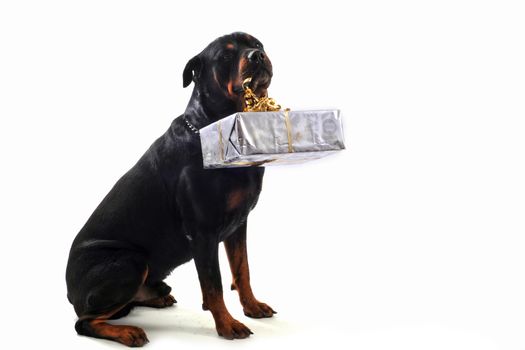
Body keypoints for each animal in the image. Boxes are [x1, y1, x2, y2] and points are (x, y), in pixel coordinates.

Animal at [65, 33, 274, 348]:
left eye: (258, 45)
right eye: (225, 56)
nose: (257, 56)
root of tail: (69, 290)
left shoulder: (239, 224)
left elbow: (242, 269)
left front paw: (252, 306)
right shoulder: (203, 232)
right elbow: (213, 285)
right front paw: (227, 325)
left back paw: (155, 298)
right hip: (129, 262)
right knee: (84, 321)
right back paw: (127, 332)